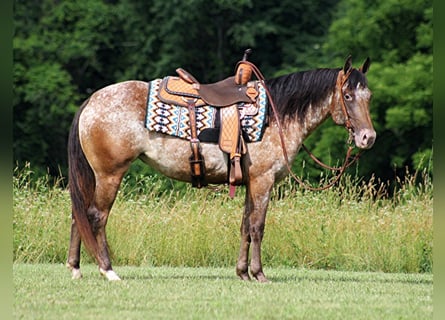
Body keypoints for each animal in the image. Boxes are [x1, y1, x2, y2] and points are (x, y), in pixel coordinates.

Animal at [66, 56, 374, 282]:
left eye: (368, 96)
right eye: (347, 95)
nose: (367, 137)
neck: (276, 117)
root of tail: (92, 101)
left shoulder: (251, 183)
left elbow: (245, 227)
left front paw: (242, 273)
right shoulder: (263, 182)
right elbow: (258, 227)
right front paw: (259, 274)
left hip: (95, 176)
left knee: (79, 214)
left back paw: (76, 268)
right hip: (109, 174)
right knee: (96, 216)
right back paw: (108, 271)